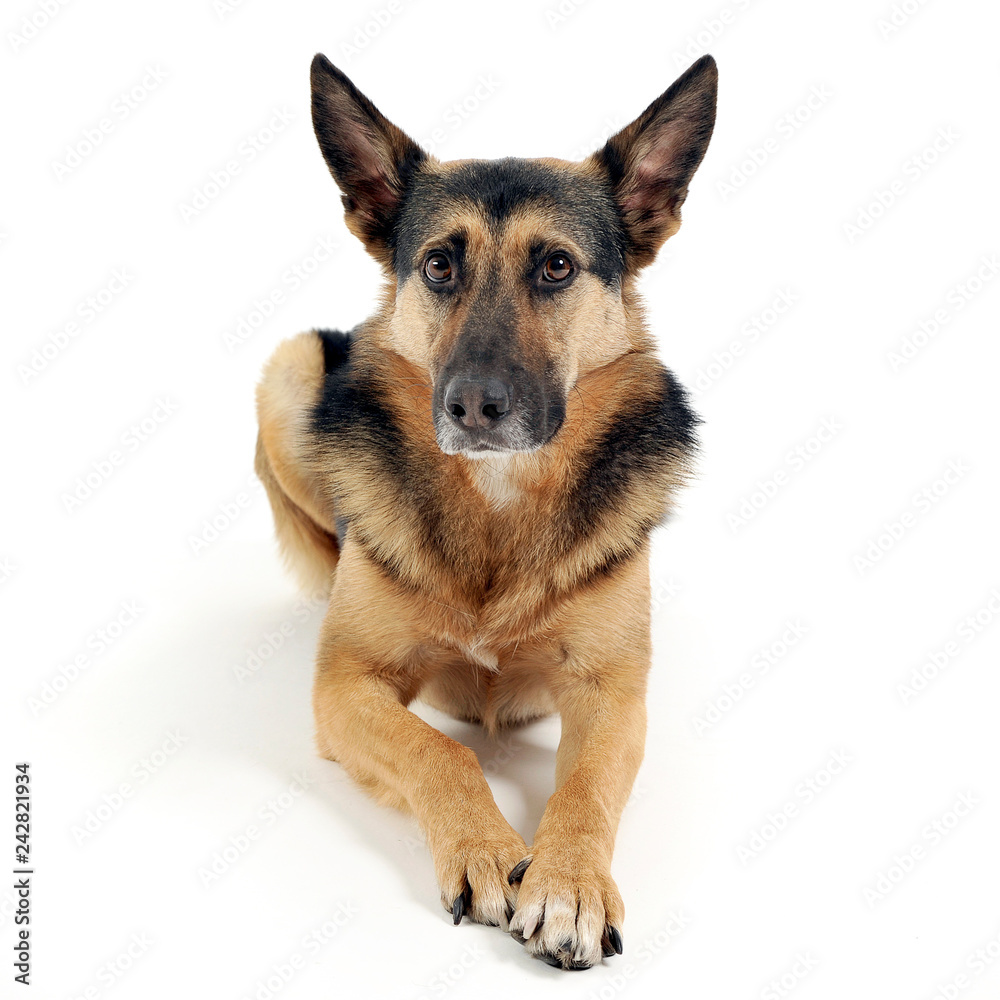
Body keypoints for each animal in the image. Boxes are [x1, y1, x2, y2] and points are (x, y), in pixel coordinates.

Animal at [254, 48, 716, 968]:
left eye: (556, 267)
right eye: (439, 264)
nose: (473, 405)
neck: (501, 503)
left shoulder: (613, 698)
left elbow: (584, 789)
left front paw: (569, 883)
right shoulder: (345, 689)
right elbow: (440, 752)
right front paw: (487, 851)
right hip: (292, 367)